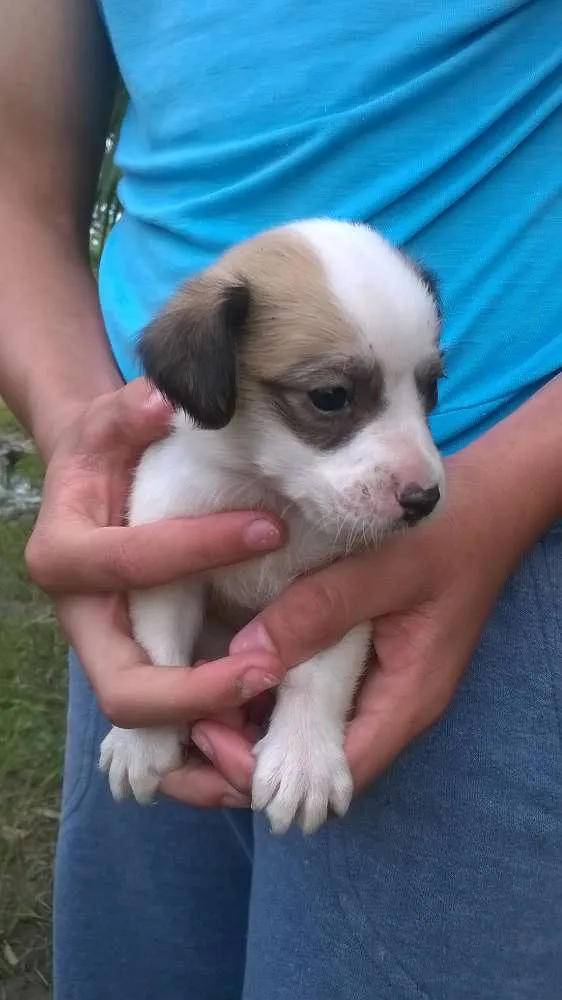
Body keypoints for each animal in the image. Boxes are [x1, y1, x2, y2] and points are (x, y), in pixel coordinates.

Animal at [98, 219, 444, 836]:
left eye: (431, 388)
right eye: (330, 397)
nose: (425, 499)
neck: (273, 496)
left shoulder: (336, 592)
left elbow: (317, 675)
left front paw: (304, 760)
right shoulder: (168, 562)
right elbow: (157, 655)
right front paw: (141, 741)